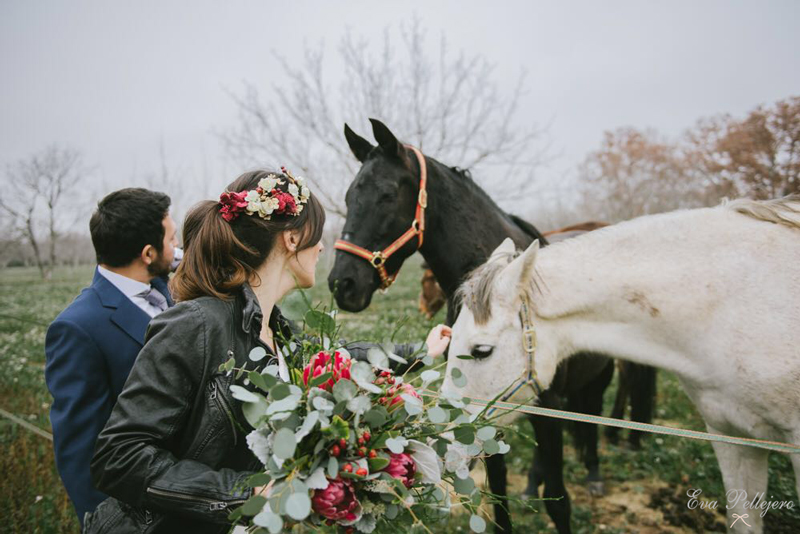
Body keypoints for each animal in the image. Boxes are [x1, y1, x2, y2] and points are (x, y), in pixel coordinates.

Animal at [328, 119, 616, 532]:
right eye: (351, 196)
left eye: (386, 194)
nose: (342, 283)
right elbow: (498, 492)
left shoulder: (549, 407)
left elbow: (559, 501)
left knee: (590, 417)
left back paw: (593, 475)